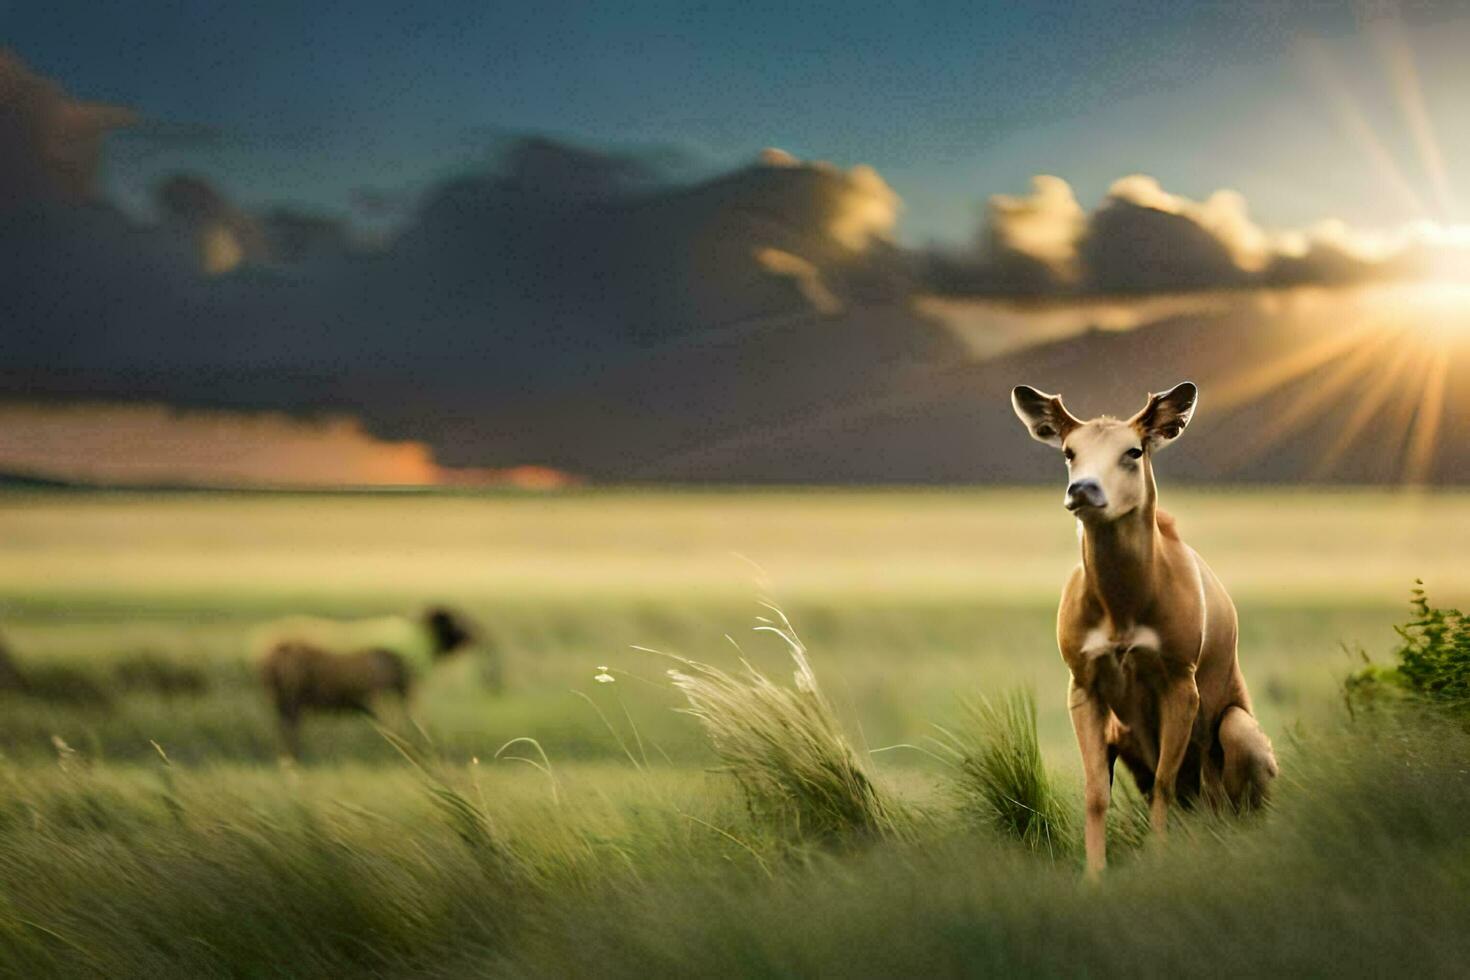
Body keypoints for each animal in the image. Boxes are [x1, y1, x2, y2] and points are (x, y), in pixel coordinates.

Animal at [1011, 382, 1275, 875]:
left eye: (1133, 451)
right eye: (1069, 452)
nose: (1083, 489)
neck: (1123, 615)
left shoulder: (1180, 674)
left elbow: (1165, 785)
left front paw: (1159, 864)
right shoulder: (1082, 679)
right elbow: (1096, 793)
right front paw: (1093, 875)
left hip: (1242, 731)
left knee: (1233, 803)